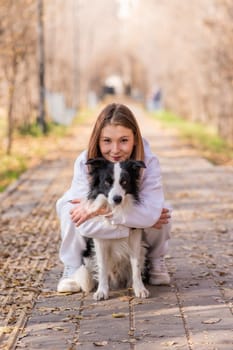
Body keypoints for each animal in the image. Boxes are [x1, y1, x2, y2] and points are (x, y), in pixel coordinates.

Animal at [74, 157, 149, 300]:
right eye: (107, 182)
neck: (116, 210)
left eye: (124, 182)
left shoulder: (135, 239)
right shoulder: (99, 241)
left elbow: (136, 266)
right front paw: (102, 291)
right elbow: (102, 267)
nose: (117, 199)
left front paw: (140, 288)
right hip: (88, 256)